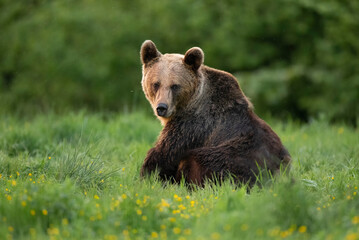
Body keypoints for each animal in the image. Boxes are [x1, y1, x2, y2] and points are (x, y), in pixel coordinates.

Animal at [139, 39, 292, 187]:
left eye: (175, 86)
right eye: (156, 84)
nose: (162, 107)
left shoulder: (193, 125)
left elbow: (165, 154)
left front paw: (147, 176)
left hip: (232, 157)